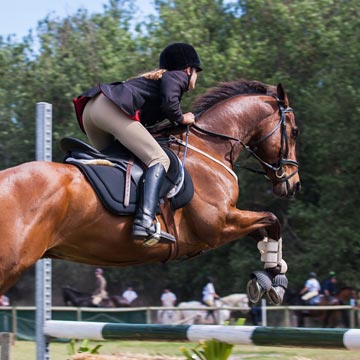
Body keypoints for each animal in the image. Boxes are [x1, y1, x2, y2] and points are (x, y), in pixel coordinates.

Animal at [0, 79, 300, 304]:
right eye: (295, 131)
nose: (293, 184)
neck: (209, 146)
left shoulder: (227, 221)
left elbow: (264, 230)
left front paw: (273, 272)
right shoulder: (218, 225)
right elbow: (272, 220)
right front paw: (273, 281)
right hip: (9, 264)